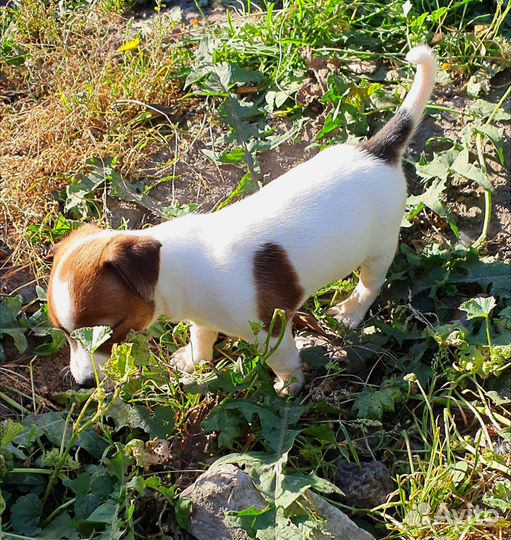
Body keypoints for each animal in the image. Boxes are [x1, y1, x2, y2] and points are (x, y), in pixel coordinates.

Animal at [47, 44, 436, 394]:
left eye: (107, 332)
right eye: (65, 335)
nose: (83, 383)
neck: (174, 269)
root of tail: (377, 151)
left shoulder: (270, 330)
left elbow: (283, 359)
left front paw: (290, 387)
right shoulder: (202, 318)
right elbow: (201, 336)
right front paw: (195, 360)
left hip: (380, 246)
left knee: (372, 281)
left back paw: (352, 310)